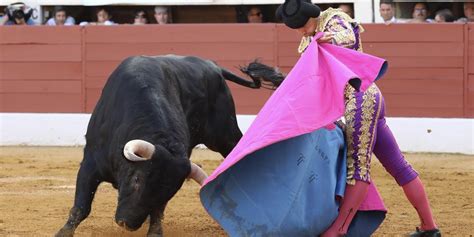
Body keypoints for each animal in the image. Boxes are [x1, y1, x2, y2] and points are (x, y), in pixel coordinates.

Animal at [56, 54, 286, 236]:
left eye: (169, 192)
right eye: (137, 179)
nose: (127, 224)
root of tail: (212, 66)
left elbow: (158, 213)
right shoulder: (90, 163)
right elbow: (81, 206)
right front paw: (63, 233)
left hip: (225, 135)